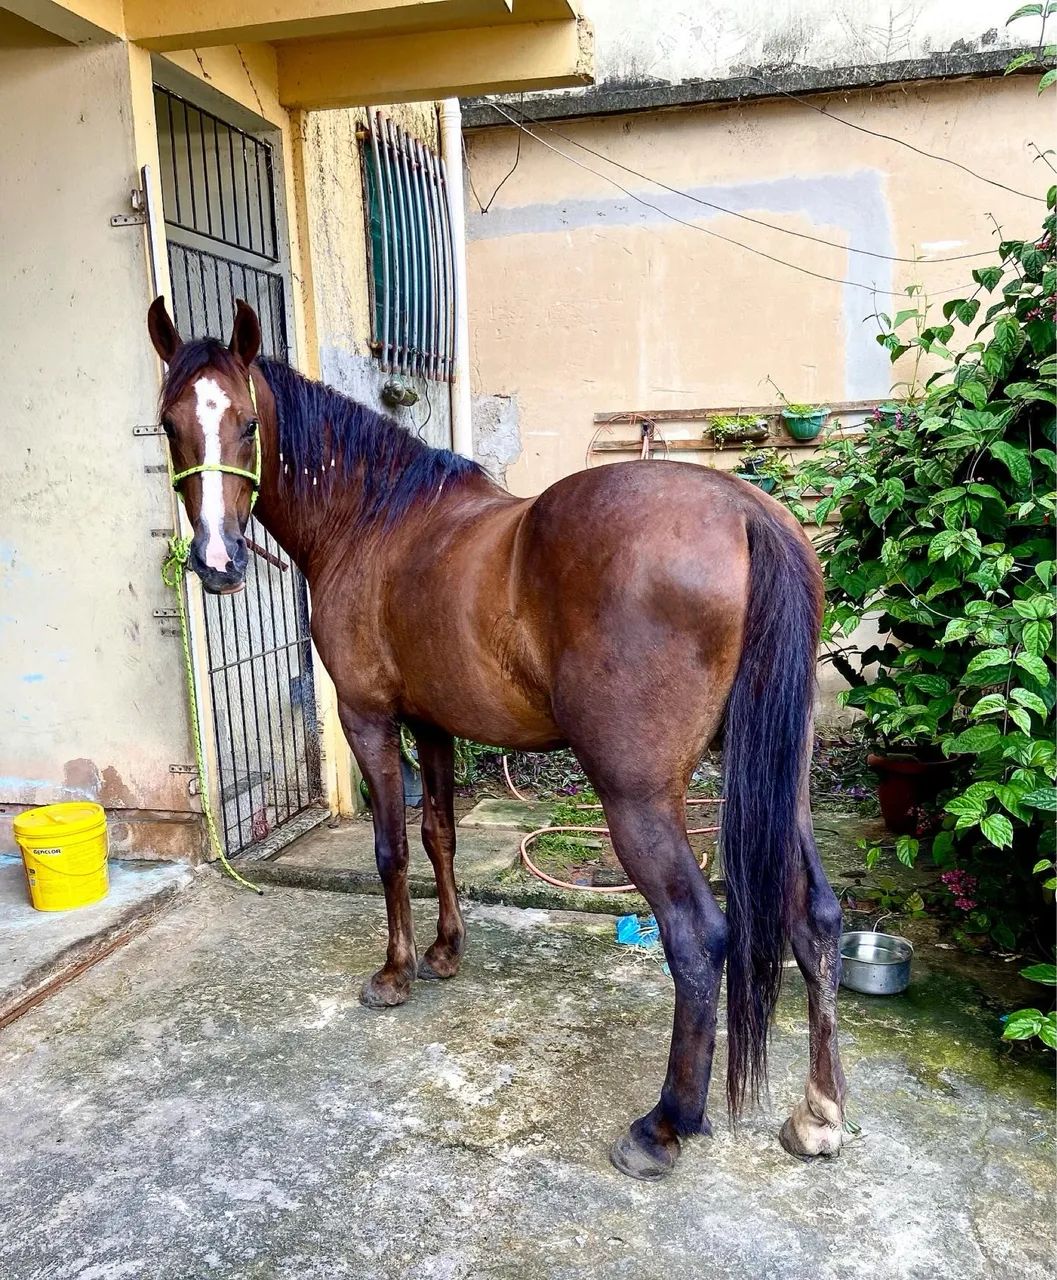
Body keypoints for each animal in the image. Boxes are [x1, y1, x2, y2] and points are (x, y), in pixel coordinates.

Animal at [146, 296, 847, 1181]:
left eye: (244, 423)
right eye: (170, 424)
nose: (216, 562)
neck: (373, 520)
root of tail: (748, 513)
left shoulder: (369, 718)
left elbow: (391, 849)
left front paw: (394, 972)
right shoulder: (435, 725)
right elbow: (439, 834)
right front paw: (446, 951)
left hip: (637, 798)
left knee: (697, 937)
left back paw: (662, 1125)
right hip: (778, 782)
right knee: (814, 917)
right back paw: (819, 1112)